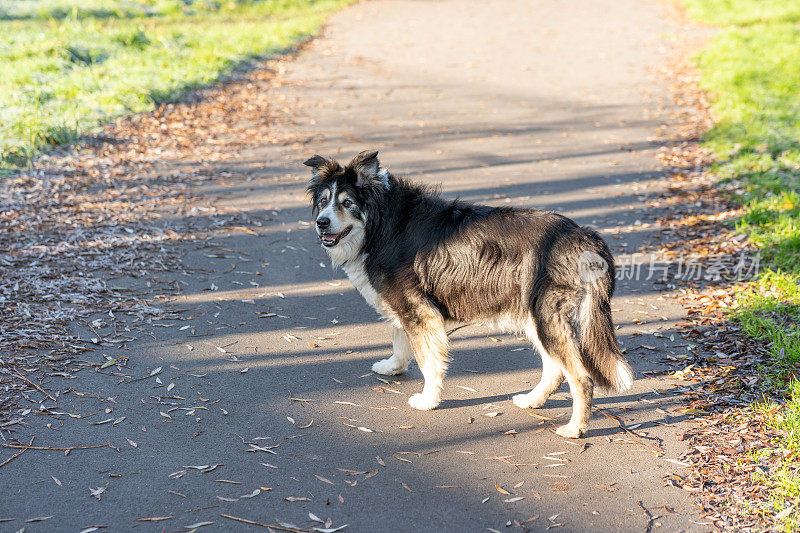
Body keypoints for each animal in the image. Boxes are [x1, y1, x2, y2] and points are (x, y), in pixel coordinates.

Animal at [304, 150, 636, 436]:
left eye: (347, 202)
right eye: (324, 201)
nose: (322, 223)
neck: (382, 223)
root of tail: (584, 236)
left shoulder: (419, 311)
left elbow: (428, 361)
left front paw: (428, 399)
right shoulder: (407, 307)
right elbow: (400, 340)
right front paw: (392, 367)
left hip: (546, 317)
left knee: (581, 377)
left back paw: (575, 428)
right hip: (535, 317)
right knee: (555, 369)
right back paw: (532, 400)